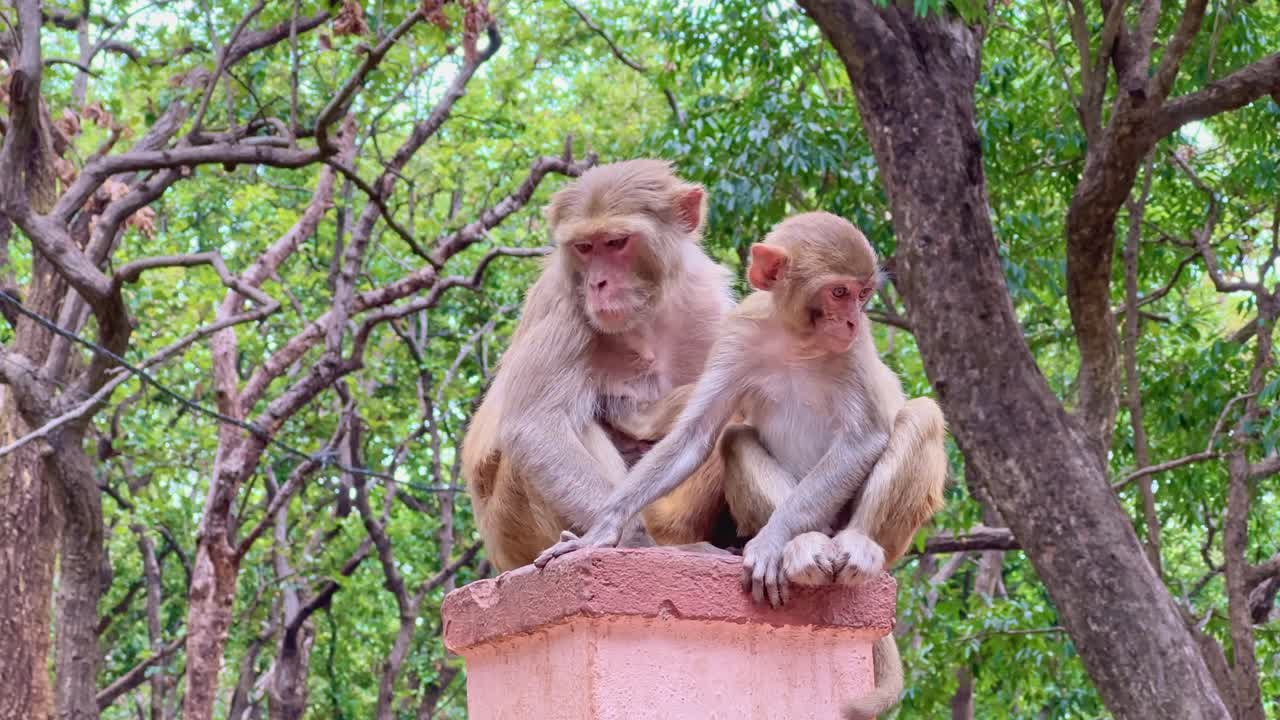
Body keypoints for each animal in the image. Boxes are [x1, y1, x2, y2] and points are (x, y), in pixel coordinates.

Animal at [460, 159, 739, 572]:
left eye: (616, 243)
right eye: (584, 247)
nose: (597, 284)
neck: (645, 316)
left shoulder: (708, 306)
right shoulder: (563, 304)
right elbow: (533, 425)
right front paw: (624, 537)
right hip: (513, 526)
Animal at [534, 211, 947, 720]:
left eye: (863, 293)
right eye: (839, 292)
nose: (853, 320)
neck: (798, 341)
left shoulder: (854, 351)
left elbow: (863, 439)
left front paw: (771, 542)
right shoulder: (739, 335)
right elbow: (696, 436)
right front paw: (603, 529)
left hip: (885, 537)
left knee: (922, 416)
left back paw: (852, 545)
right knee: (737, 439)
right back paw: (805, 547)